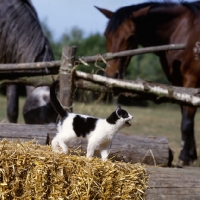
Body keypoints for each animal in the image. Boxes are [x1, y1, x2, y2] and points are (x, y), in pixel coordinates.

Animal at [96, 0, 200, 165]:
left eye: (131, 36)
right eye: (106, 34)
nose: (112, 74)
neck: (183, 31)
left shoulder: (191, 80)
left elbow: (187, 121)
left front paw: (184, 157)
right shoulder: (180, 85)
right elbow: (186, 115)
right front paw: (190, 155)